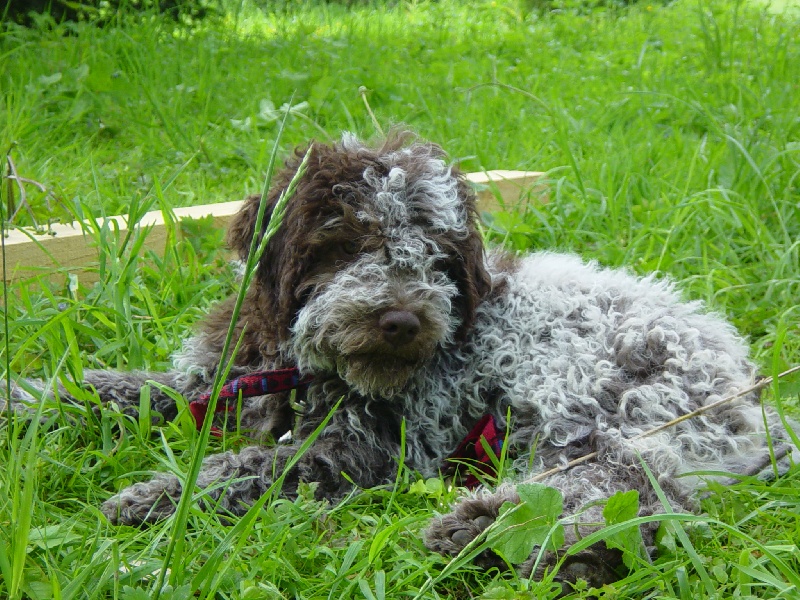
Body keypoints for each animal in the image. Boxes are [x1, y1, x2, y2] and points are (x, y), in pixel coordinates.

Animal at [4, 132, 792, 592]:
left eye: (439, 255)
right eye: (346, 241)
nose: (403, 320)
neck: (301, 367)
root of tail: (749, 387)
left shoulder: (363, 450)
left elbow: (257, 466)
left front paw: (157, 495)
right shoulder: (221, 381)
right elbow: (129, 389)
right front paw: (29, 401)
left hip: (599, 404)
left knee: (640, 493)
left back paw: (499, 535)